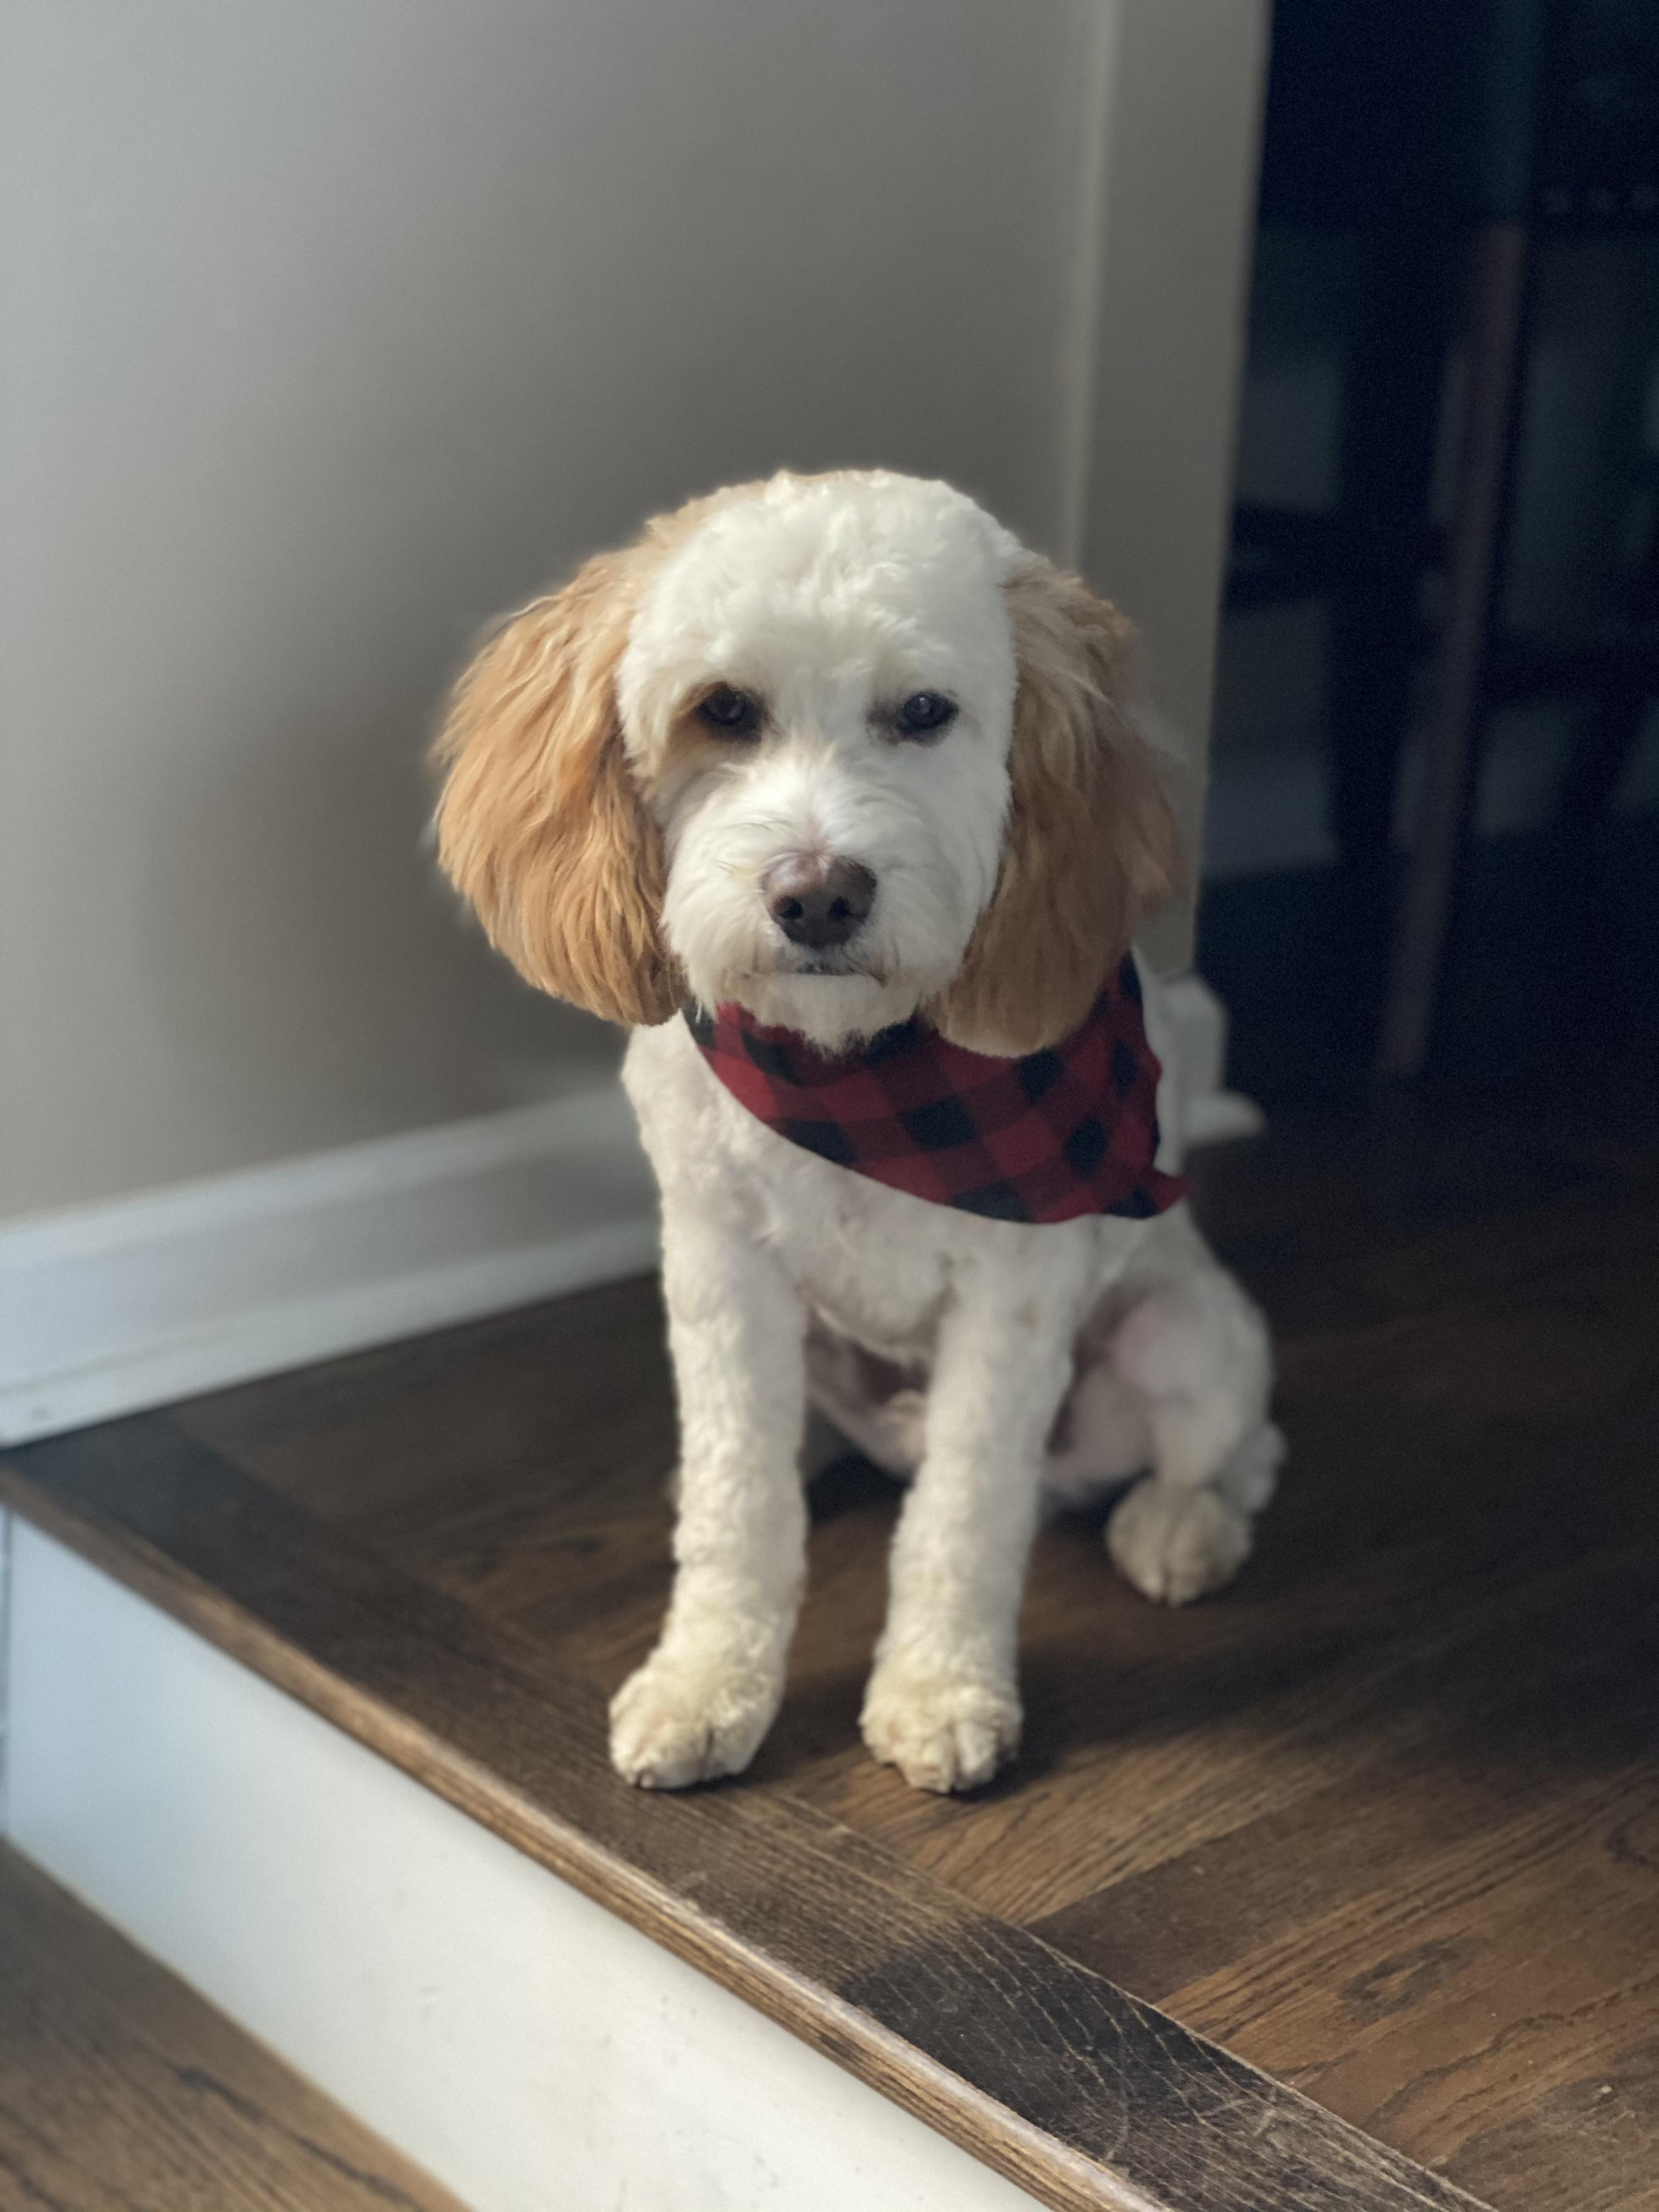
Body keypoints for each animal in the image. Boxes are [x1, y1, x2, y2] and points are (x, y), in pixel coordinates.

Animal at [434, 470, 1280, 1795]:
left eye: (924, 713)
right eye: (723, 710)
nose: (817, 895)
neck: (852, 1069)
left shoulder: (1014, 1299)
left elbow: (964, 1512)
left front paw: (941, 1687)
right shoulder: (720, 1268)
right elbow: (737, 1502)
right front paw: (708, 1680)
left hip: (1178, 1330)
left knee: (1239, 1444)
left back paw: (1181, 1525)